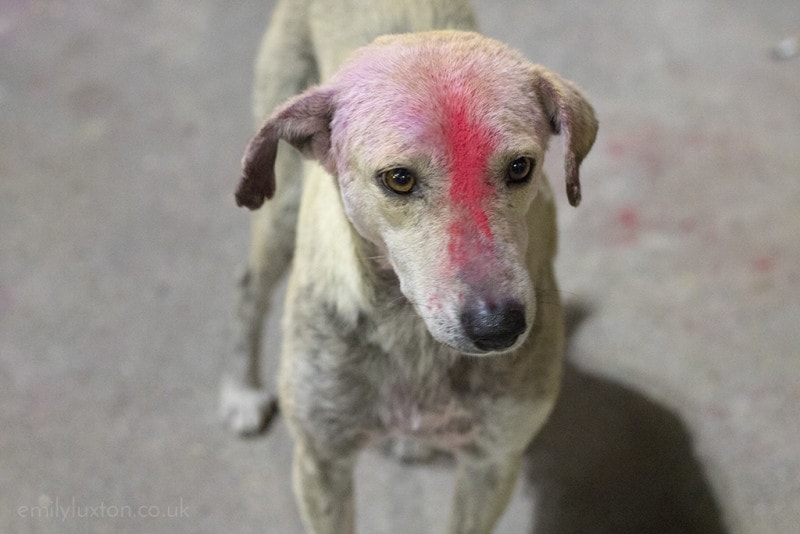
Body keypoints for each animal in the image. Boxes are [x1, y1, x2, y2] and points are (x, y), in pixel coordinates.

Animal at [219, 2, 592, 532]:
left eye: (521, 166)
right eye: (398, 179)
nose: (499, 328)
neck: (411, 333)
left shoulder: (493, 462)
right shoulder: (321, 460)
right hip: (281, 212)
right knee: (249, 286)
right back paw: (241, 391)